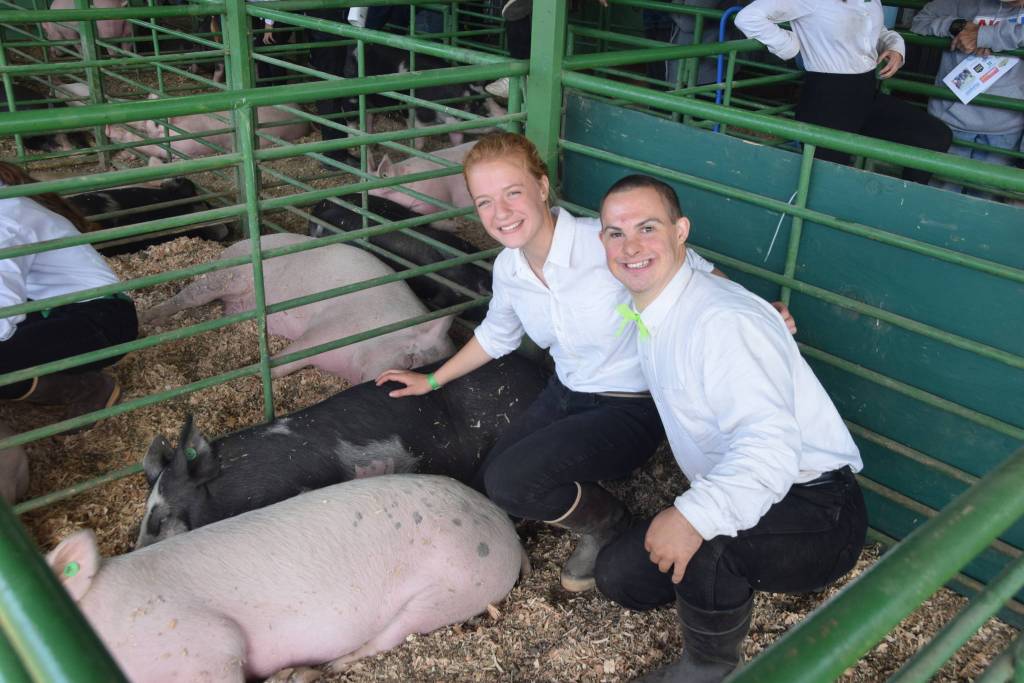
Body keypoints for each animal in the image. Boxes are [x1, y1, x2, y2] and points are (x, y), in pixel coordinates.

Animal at [142, 233, 454, 382]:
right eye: (410, 360)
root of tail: (233, 247)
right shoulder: (332, 325)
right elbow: (291, 355)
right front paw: (254, 373)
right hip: (226, 276)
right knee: (190, 295)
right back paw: (150, 318)